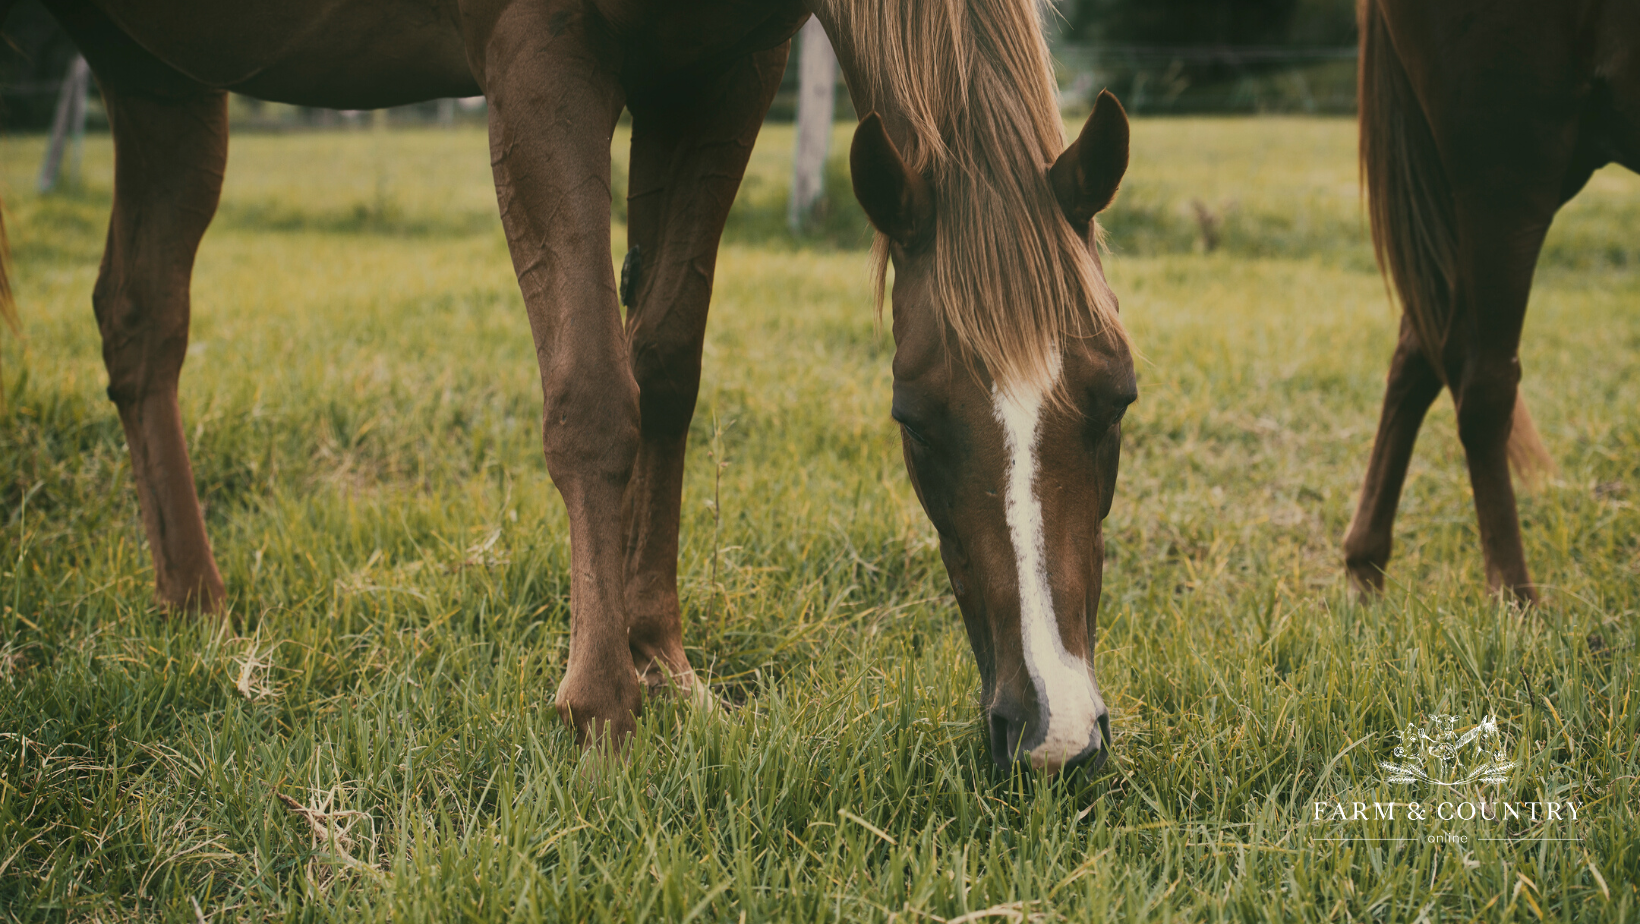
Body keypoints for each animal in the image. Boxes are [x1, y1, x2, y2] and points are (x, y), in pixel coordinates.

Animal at [0, 0, 1134, 771]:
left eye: (1117, 398)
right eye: (913, 418)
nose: (1054, 733)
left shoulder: (719, 75)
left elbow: (664, 365)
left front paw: (663, 662)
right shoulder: (539, 60)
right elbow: (591, 391)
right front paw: (600, 706)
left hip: (159, 74)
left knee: (140, 322)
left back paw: (194, 607)